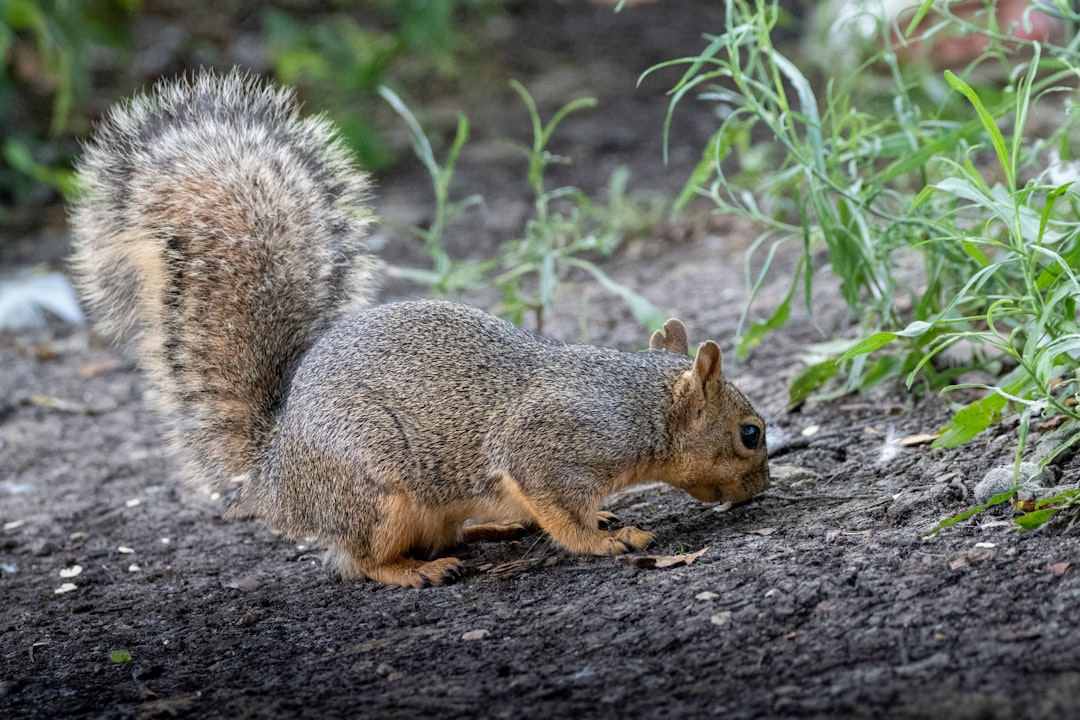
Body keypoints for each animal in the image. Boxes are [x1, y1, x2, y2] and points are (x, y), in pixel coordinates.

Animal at [65, 67, 768, 587]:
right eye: (750, 434)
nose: (761, 490)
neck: (636, 404)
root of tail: (275, 473)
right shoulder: (547, 445)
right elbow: (562, 512)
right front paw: (606, 540)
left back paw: (495, 528)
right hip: (374, 493)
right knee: (356, 561)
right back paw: (413, 571)